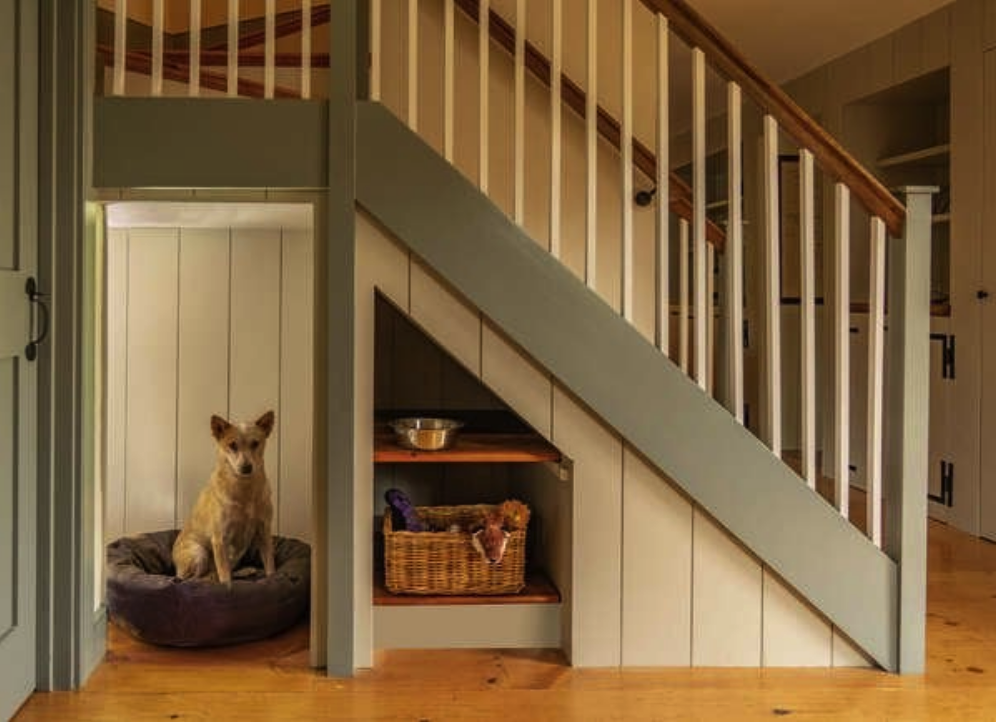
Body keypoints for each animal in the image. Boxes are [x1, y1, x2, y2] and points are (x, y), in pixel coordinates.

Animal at [173, 410, 278, 584]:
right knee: (194, 579)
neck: (244, 489)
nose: (246, 467)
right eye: (232, 445)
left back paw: (244, 571)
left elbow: (270, 564)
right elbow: (224, 576)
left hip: (237, 552)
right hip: (199, 553)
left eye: (255, 443)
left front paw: (272, 578)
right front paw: (226, 584)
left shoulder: (264, 530)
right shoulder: (220, 538)